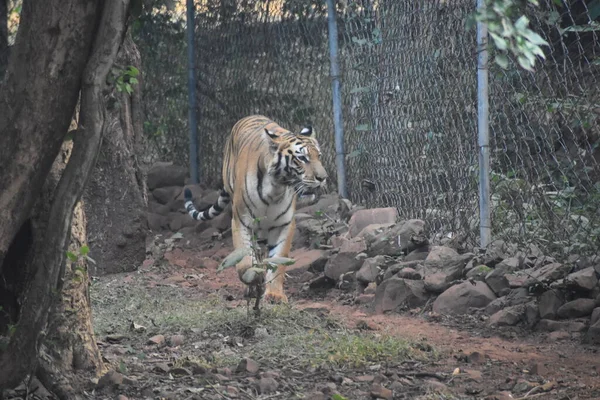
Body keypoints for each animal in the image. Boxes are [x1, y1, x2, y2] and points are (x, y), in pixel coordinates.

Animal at [185, 114, 330, 302]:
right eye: (302, 158)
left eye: (319, 156)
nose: (323, 178)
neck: (275, 189)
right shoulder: (240, 221)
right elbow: (245, 260)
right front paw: (253, 279)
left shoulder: (284, 225)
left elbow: (278, 260)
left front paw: (275, 294)